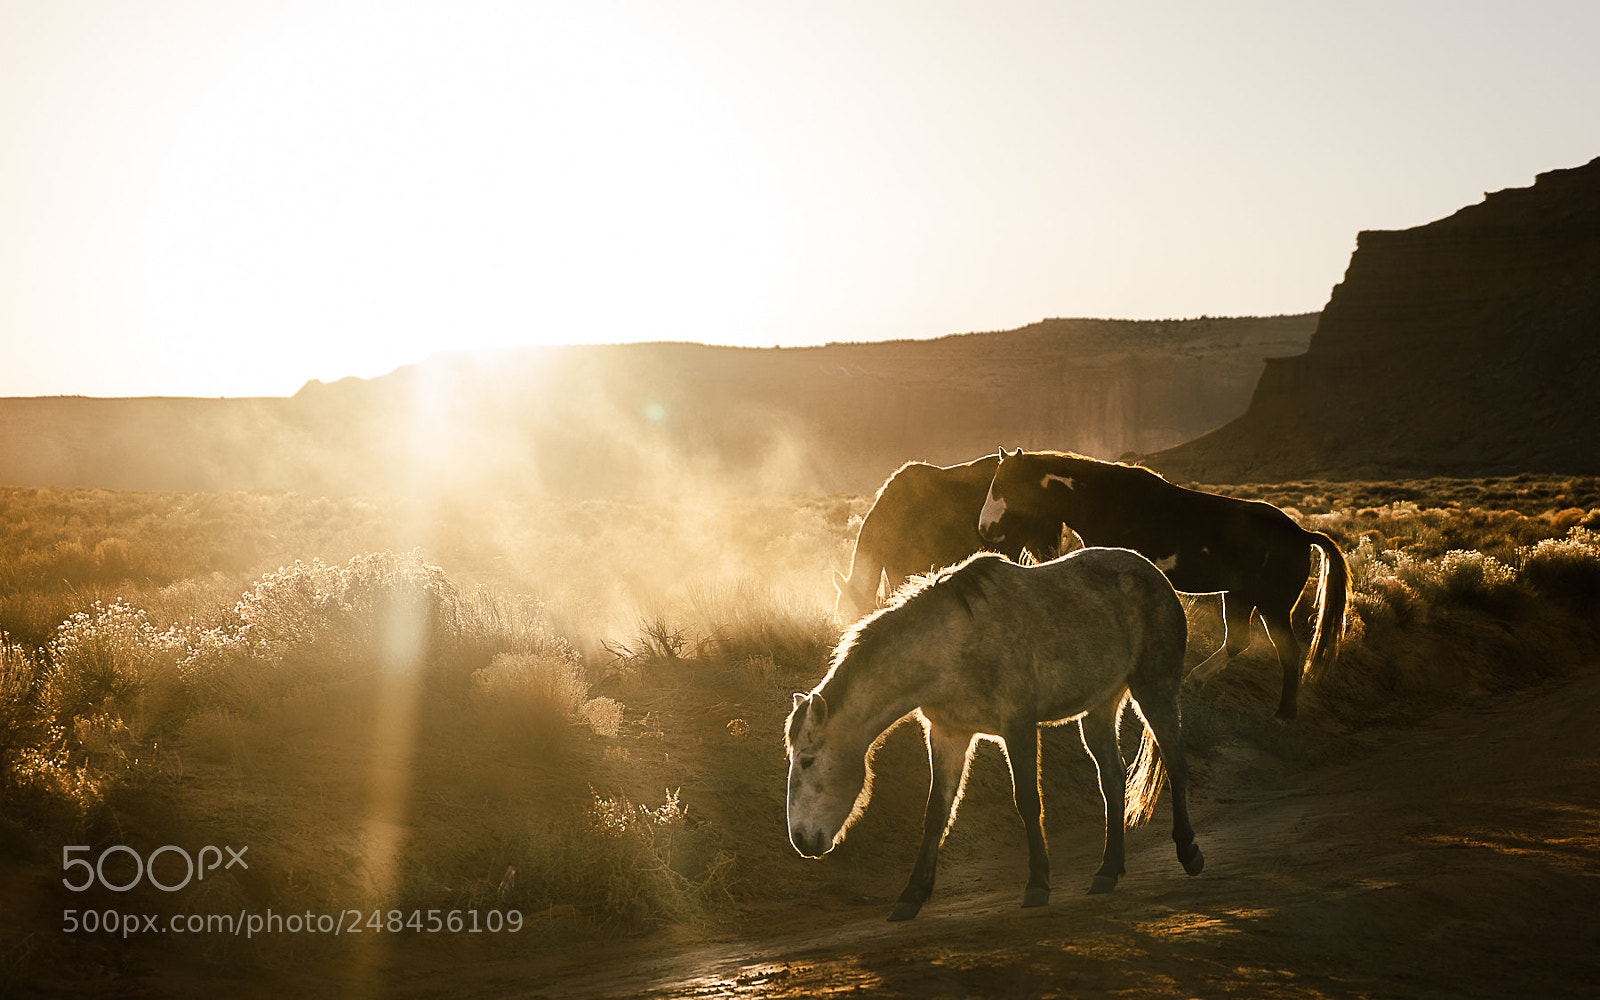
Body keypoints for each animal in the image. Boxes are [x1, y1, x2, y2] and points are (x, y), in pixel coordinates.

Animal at [787, 548, 1204, 922]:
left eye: (807, 760)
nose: (802, 839)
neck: (949, 645)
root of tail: (1156, 577)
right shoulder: (949, 734)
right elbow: (936, 813)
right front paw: (911, 896)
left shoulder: (1017, 727)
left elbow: (1028, 802)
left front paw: (1037, 884)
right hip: (1099, 708)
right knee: (1113, 780)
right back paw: (1107, 871)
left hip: (1154, 689)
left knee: (1175, 762)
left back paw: (1188, 851)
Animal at [978, 449, 1350, 720]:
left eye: (1004, 485)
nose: (985, 529)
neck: (1106, 499)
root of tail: (1302, 534)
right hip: (1239, 596)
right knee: (1237, 641)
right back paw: (1195, 680)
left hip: (1273, 606)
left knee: (1289, 653)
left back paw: (1285, 713)